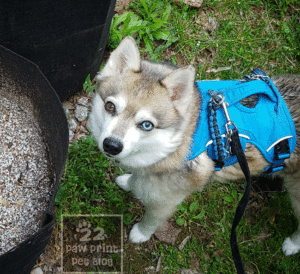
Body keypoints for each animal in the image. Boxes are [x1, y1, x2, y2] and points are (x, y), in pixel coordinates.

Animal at [90, 35, 300, 255]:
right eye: (110, 106)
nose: (111, 145)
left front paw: (141, 233)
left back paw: (293, 245)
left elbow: (152, 218)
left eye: (146, 125)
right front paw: (129, 182)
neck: (178, 141)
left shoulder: (168, 199)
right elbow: (138, 179)